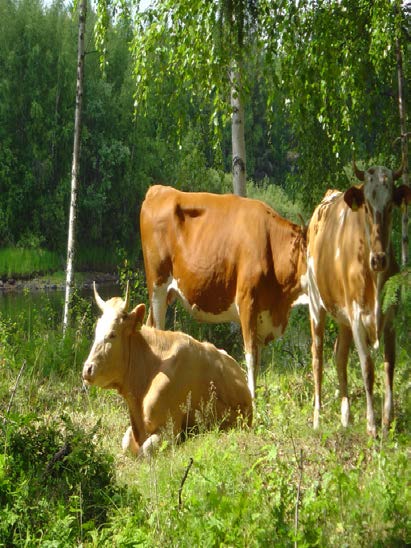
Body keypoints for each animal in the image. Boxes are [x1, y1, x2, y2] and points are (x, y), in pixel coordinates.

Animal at [82, 280, 253, 456]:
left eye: (112, 334)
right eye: (96, 332)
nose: (87, 369)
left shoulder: (170, 429)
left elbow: (144, 452)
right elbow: (126, 443)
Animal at [308, 158, 410, 436]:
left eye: (390, 205)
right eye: (366, 205)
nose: (379, 259)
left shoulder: (390, 318)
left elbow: (389, 365)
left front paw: (387, 420)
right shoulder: (356, 317)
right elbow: (367, 368)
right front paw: (371, 424)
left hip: (341, 318)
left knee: (339, 356)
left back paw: (346, 417)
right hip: (315, 305)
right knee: (318, 359)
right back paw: (317, 419)